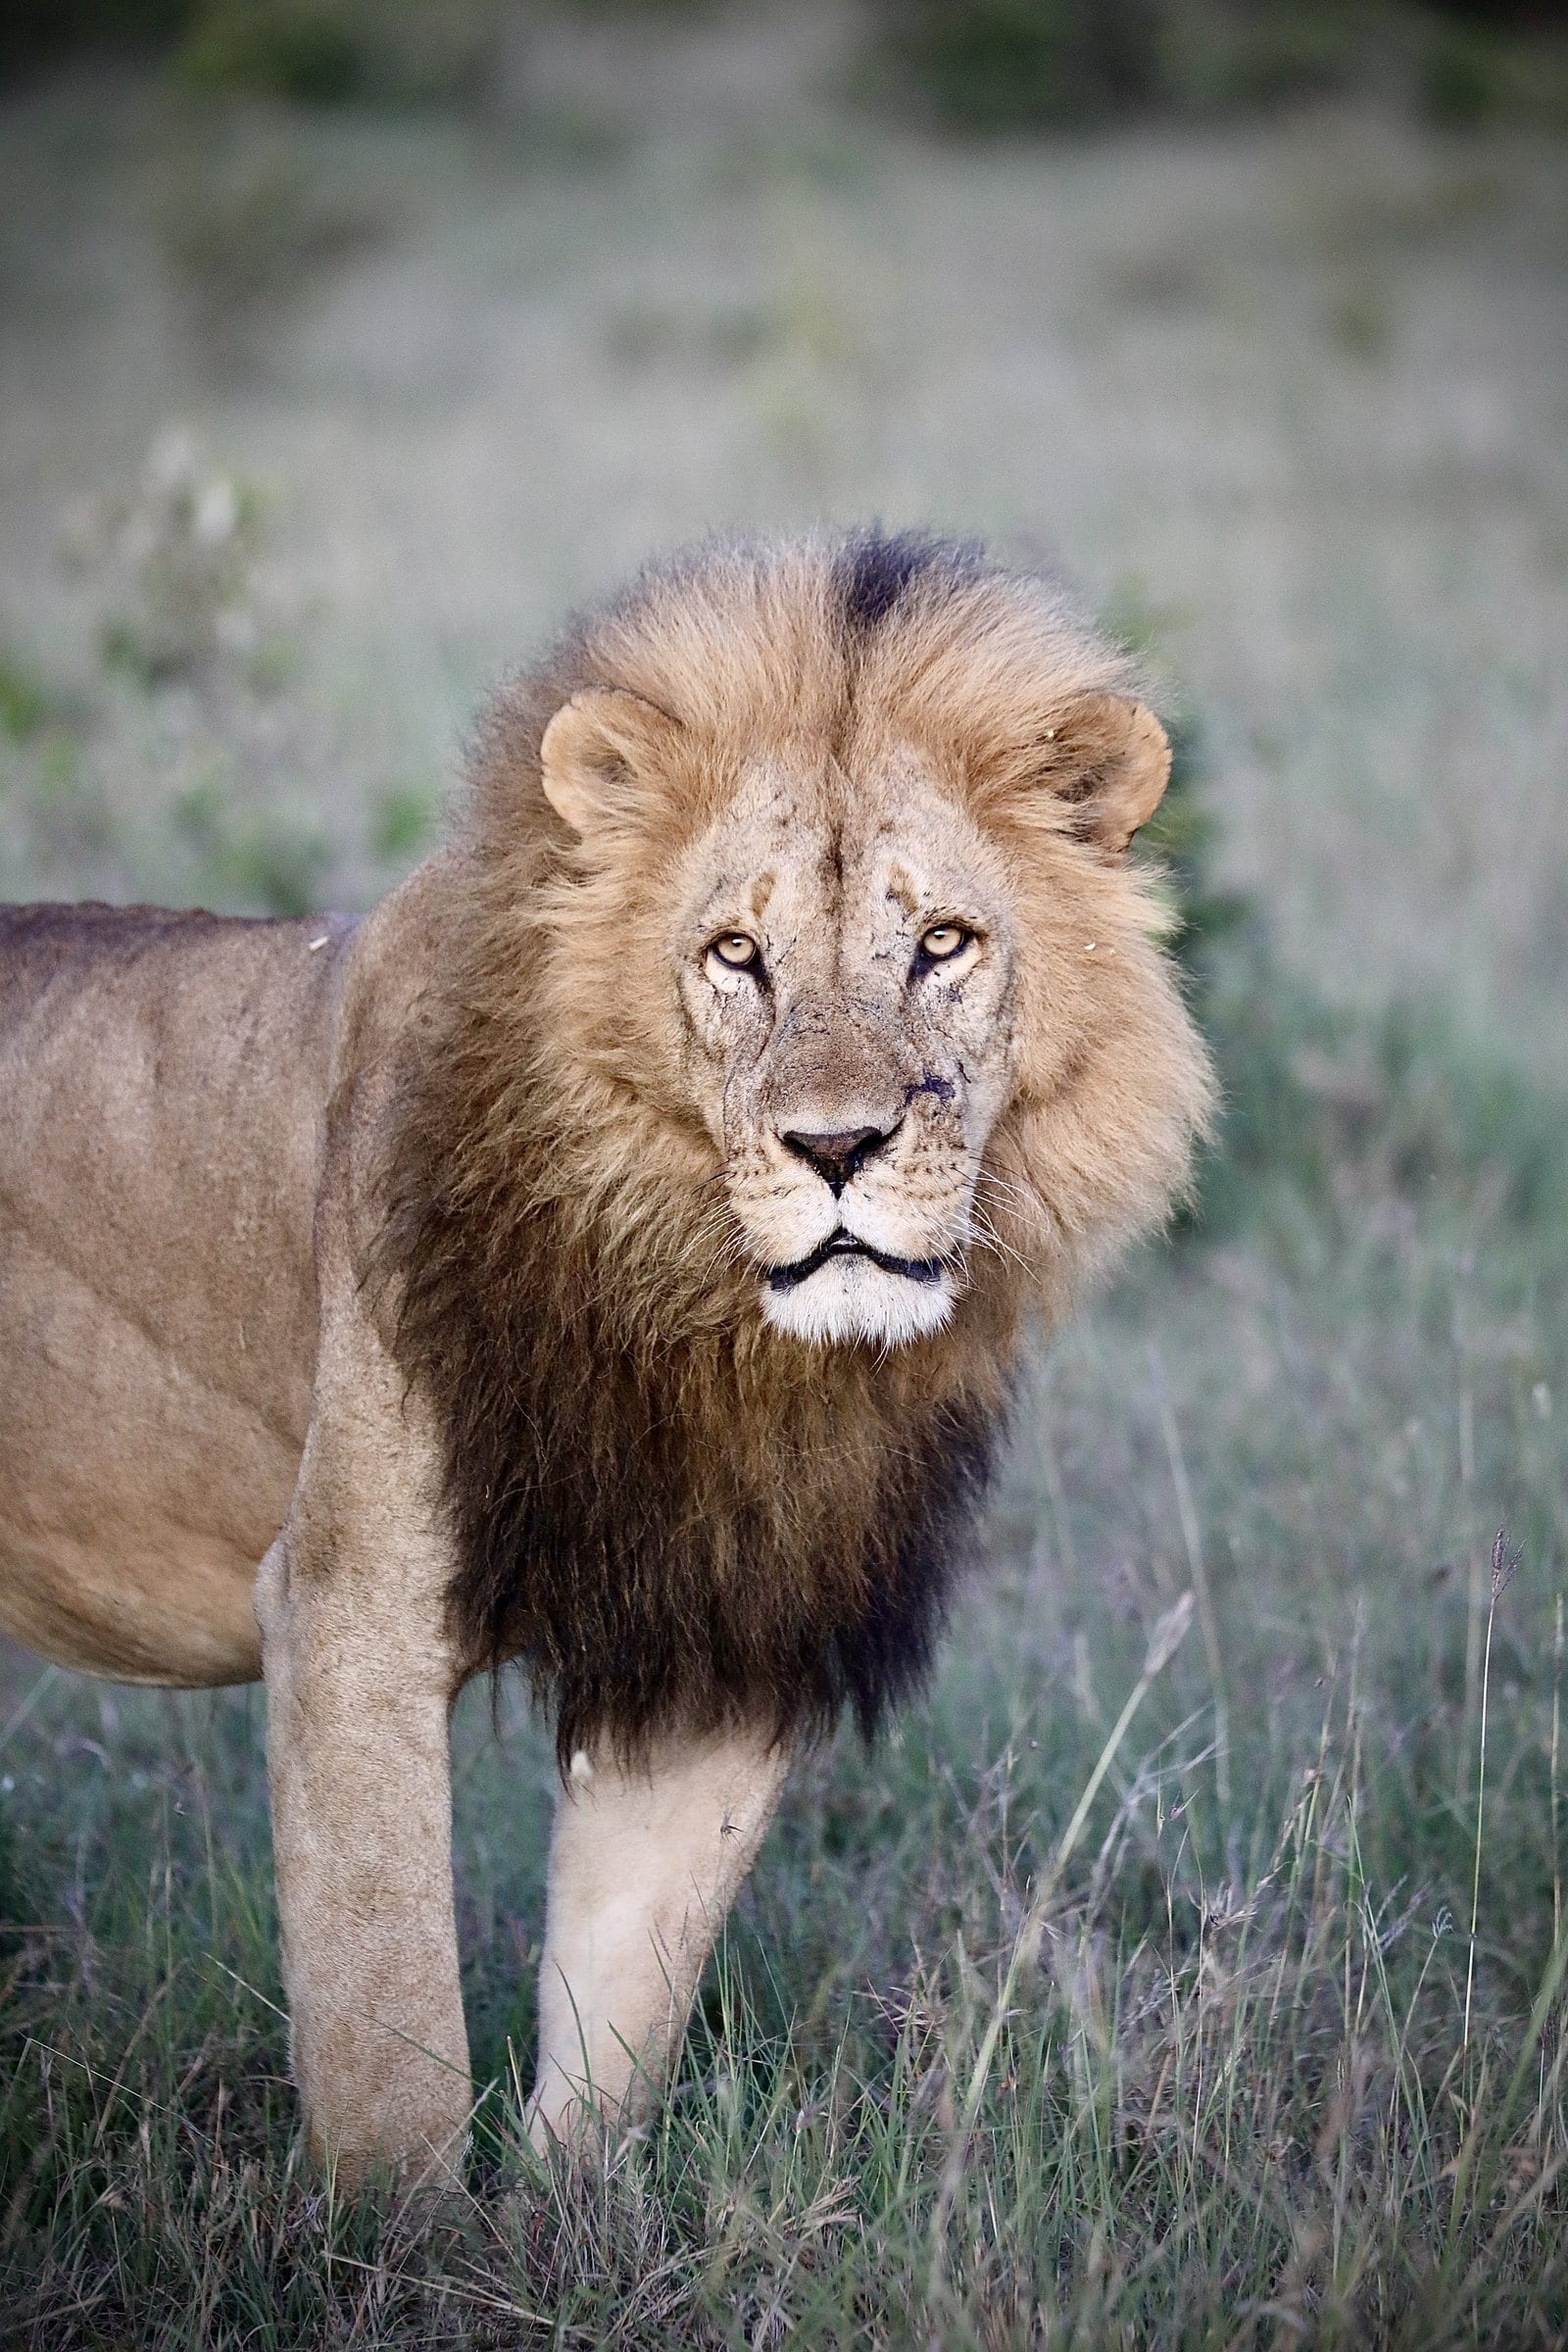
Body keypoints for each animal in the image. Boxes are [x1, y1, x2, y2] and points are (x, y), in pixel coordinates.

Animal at [0, 531, 1212, 2179]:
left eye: (943, 945)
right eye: (737, 956)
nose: (837, 1149)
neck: (707, 1328)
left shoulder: (718, 1630)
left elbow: (620, 2020)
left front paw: (566, 2217)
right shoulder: (349, 1610)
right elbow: (392, 2036)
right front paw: (401, 2236)